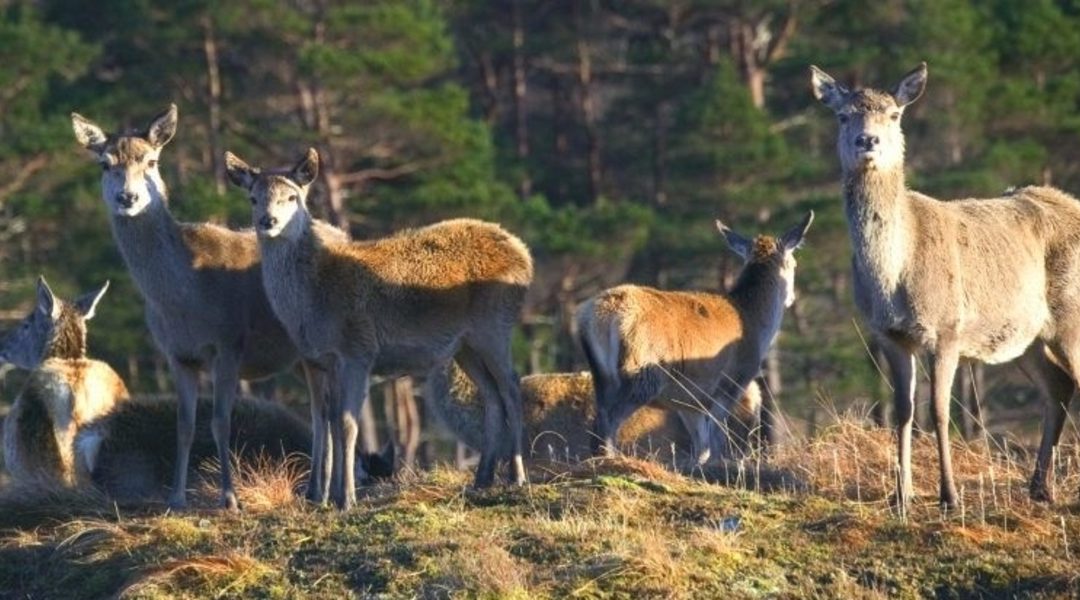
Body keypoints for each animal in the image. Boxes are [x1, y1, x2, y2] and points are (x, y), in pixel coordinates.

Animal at [71, 105, 344, 510]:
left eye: (151, 161)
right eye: (105, 164)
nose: (127, 197)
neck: (181, 301)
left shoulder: (228, 342)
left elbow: (220, 421)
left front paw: (229, 498)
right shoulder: (176, 354)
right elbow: (184, 424)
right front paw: (175, 498)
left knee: (328, 409)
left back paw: (326, 492)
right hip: (299, 358)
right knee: (320, 410)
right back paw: (315, 491)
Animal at [224, 148, 533, 509]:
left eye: (292, 197)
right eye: (253, 198)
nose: (268, 221)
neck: (312, 303)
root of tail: (524, 255)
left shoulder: (358, 350)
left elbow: (347, 423)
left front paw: (346, 499)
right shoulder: (320, 358)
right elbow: (326, 421)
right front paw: (326, 496)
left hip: (495, 324)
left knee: (511, 385)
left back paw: (517, 475)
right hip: (465, 344)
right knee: (492, 393)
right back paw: (483, 478)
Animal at [577, 213, 812, 467]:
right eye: (794, 264)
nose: (791, 298)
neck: (755, 324)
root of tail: (598, 316)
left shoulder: (689, 400)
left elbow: (701, 447)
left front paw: (698, 464)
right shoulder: (731, 381)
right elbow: (716, 437)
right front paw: (719, 464)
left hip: (602, 375)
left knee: (599, 414)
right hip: (643, 370)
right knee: (610, 417)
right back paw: (609, 459)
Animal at [811, 62, 1080, 509]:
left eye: (894, 114)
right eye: (843, 115)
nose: (868, 140)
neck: (893, 279)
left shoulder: (949, 328)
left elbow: (938, 411)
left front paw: (949, 496)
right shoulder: (888, 335)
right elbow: (903, 410)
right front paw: (901, 495)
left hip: (1070, 318)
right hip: (1027, 338)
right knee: (1058, 388)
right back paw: (1039, 488)